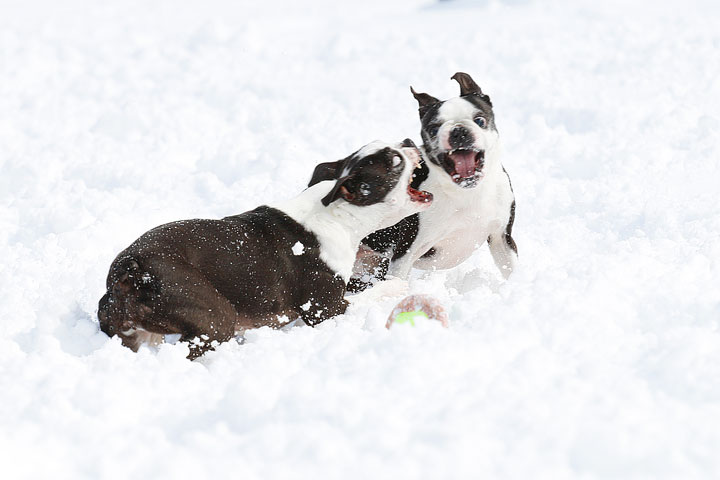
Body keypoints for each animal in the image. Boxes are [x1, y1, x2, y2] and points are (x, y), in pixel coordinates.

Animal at [97, 139, 430, 356]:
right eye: (395, 161)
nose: (410, 142)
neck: (338, 213)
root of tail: (131, 268)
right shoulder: (325, 310)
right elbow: (372, 292)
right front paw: (397, 288)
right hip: (215, 316)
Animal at [310, 71, 516, 288]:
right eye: (433, 129)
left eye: (480, 120)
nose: (459, 131)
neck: (466, 191)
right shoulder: (406, 251)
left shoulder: (502, 238)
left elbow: (510, 269)